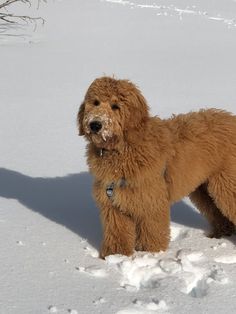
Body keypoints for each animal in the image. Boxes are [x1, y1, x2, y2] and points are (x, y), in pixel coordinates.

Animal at [78, 76, 236, 258]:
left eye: (115, 106)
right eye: (95, 102)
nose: (95, 124)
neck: (125, 147)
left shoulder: (151, 202)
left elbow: (152, 233)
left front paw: (151, 254)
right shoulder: (113, 206)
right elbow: (117, 233)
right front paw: (115, 256)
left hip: (226, 185)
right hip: (204, 190)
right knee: (218, 214)